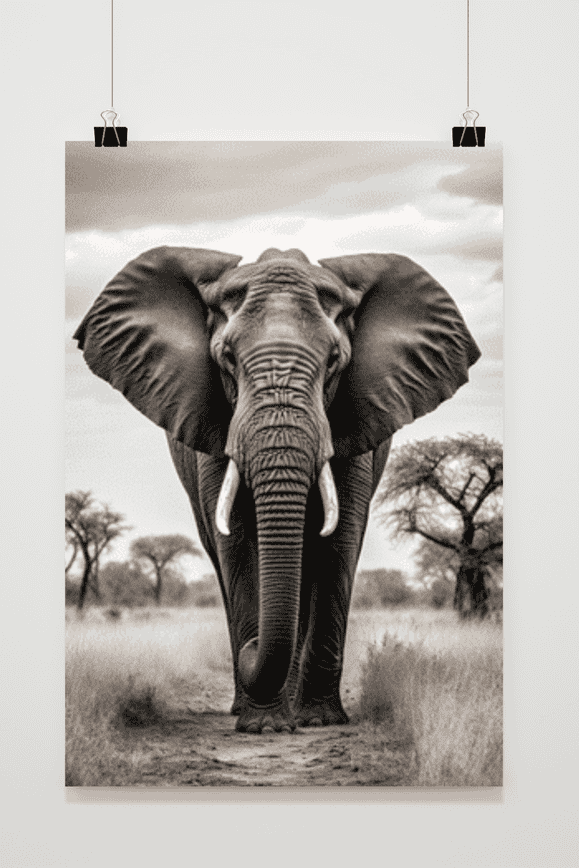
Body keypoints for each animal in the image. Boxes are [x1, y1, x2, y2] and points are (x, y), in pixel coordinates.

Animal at [74, 245, 480, 734]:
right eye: (227, 359)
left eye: (335, 361)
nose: (251, 650)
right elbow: (238, 543)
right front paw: (263, 724)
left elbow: (340, 542)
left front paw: (320, 720)